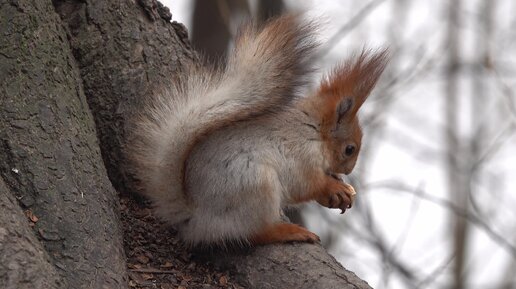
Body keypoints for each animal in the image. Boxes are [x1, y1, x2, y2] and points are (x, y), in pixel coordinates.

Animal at [127, 14, 390, 245]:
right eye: (350, 149)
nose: (348, 169)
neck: (314, 131)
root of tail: (196, 217)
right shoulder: (300, 155)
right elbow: (306, 184)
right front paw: (333, 187)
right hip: (256, 186)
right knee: (254, 232)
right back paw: (287, 232)